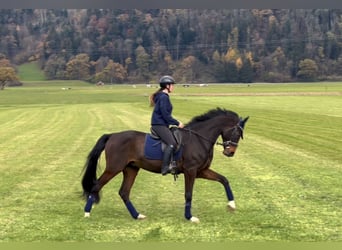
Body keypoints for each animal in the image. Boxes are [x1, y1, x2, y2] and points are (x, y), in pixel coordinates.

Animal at [82, 107, 250, 223]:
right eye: (236, 132)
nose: (230, 152)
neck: (199, 139)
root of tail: (113, 136)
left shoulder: (202, 171)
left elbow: (224, 180)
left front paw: (232, 205)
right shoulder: (191, 171)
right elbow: (188, 194)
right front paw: (190, 217)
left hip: (131, 169)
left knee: (124, 192)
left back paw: (137, 215)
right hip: (113, 168)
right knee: (96, 186)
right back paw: (86, 213)